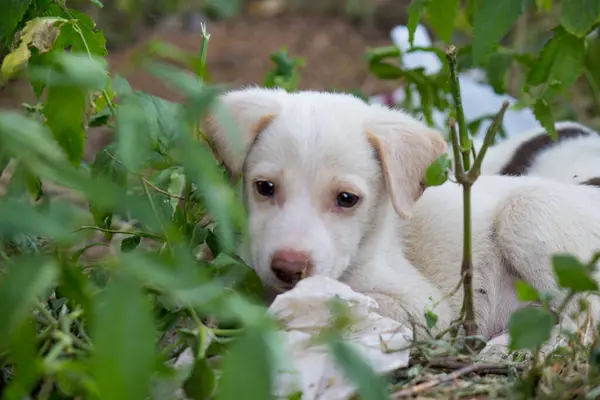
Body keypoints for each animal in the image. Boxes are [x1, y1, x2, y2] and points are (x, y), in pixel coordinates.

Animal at [203, 88, 600, 346]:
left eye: (347, 199)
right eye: (264, 187)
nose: (288, 268)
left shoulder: (424, 310)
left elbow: (347, 304)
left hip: (529, 215)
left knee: (584, 323)